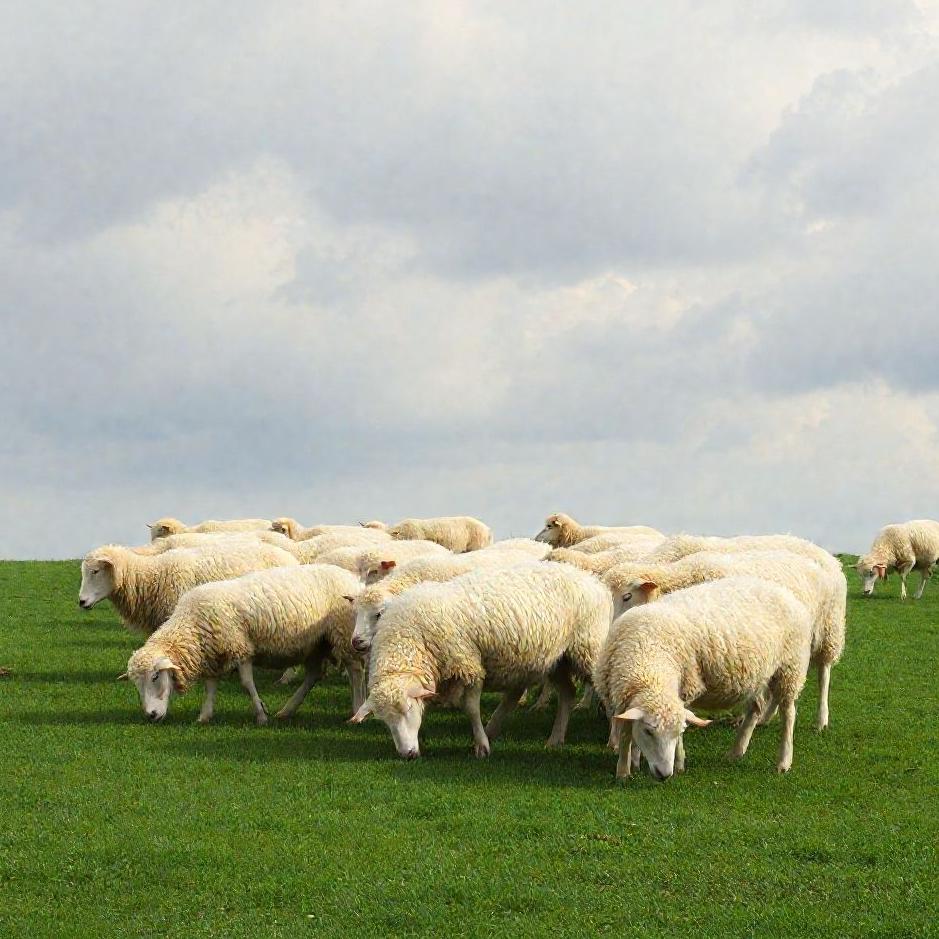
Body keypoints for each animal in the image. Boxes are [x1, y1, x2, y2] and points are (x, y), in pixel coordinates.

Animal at [122, 564, 365, 725]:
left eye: (155, 676)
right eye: (136, 684)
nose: (151, 715)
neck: (192, 624)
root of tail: (353, 578)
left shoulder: (240, 648)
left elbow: (247, 684)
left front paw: (261, 714)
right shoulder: (214, 653)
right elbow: (210, 686)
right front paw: (204, 715)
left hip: (342, 633)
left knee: (355, 670)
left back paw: (356, 709)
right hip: (316, 644)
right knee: (314, 675)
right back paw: (287, 711)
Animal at [349, 564, 612, 758]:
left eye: (408, 708)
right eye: (385, 721)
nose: (408, 755)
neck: (414, 636)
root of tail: (596, 582)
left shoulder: (468, 663)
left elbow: (471, 708)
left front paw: (481, 746)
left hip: (588, 647)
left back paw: (613, 742)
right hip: (555, 659)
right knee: (567, 692)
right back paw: (554, 739)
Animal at [593, 576, 814, 780]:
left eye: (677, 733)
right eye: (648, 732)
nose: (665, 774)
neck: (646, 649)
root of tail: (786, 593)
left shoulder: (686, 688)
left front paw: (679, 763)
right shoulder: (625, 695)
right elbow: (626, 733)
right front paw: (626, 768)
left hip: (790, 667)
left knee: (788, 713)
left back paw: (784, 761)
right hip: (757, 676)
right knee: (755, 708)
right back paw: (736, 751)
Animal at [603, 550, 846, 730]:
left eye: (627, 596)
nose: (613, 628)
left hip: (828, 629)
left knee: (824, 672)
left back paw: (821, 719)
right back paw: (765, 717)